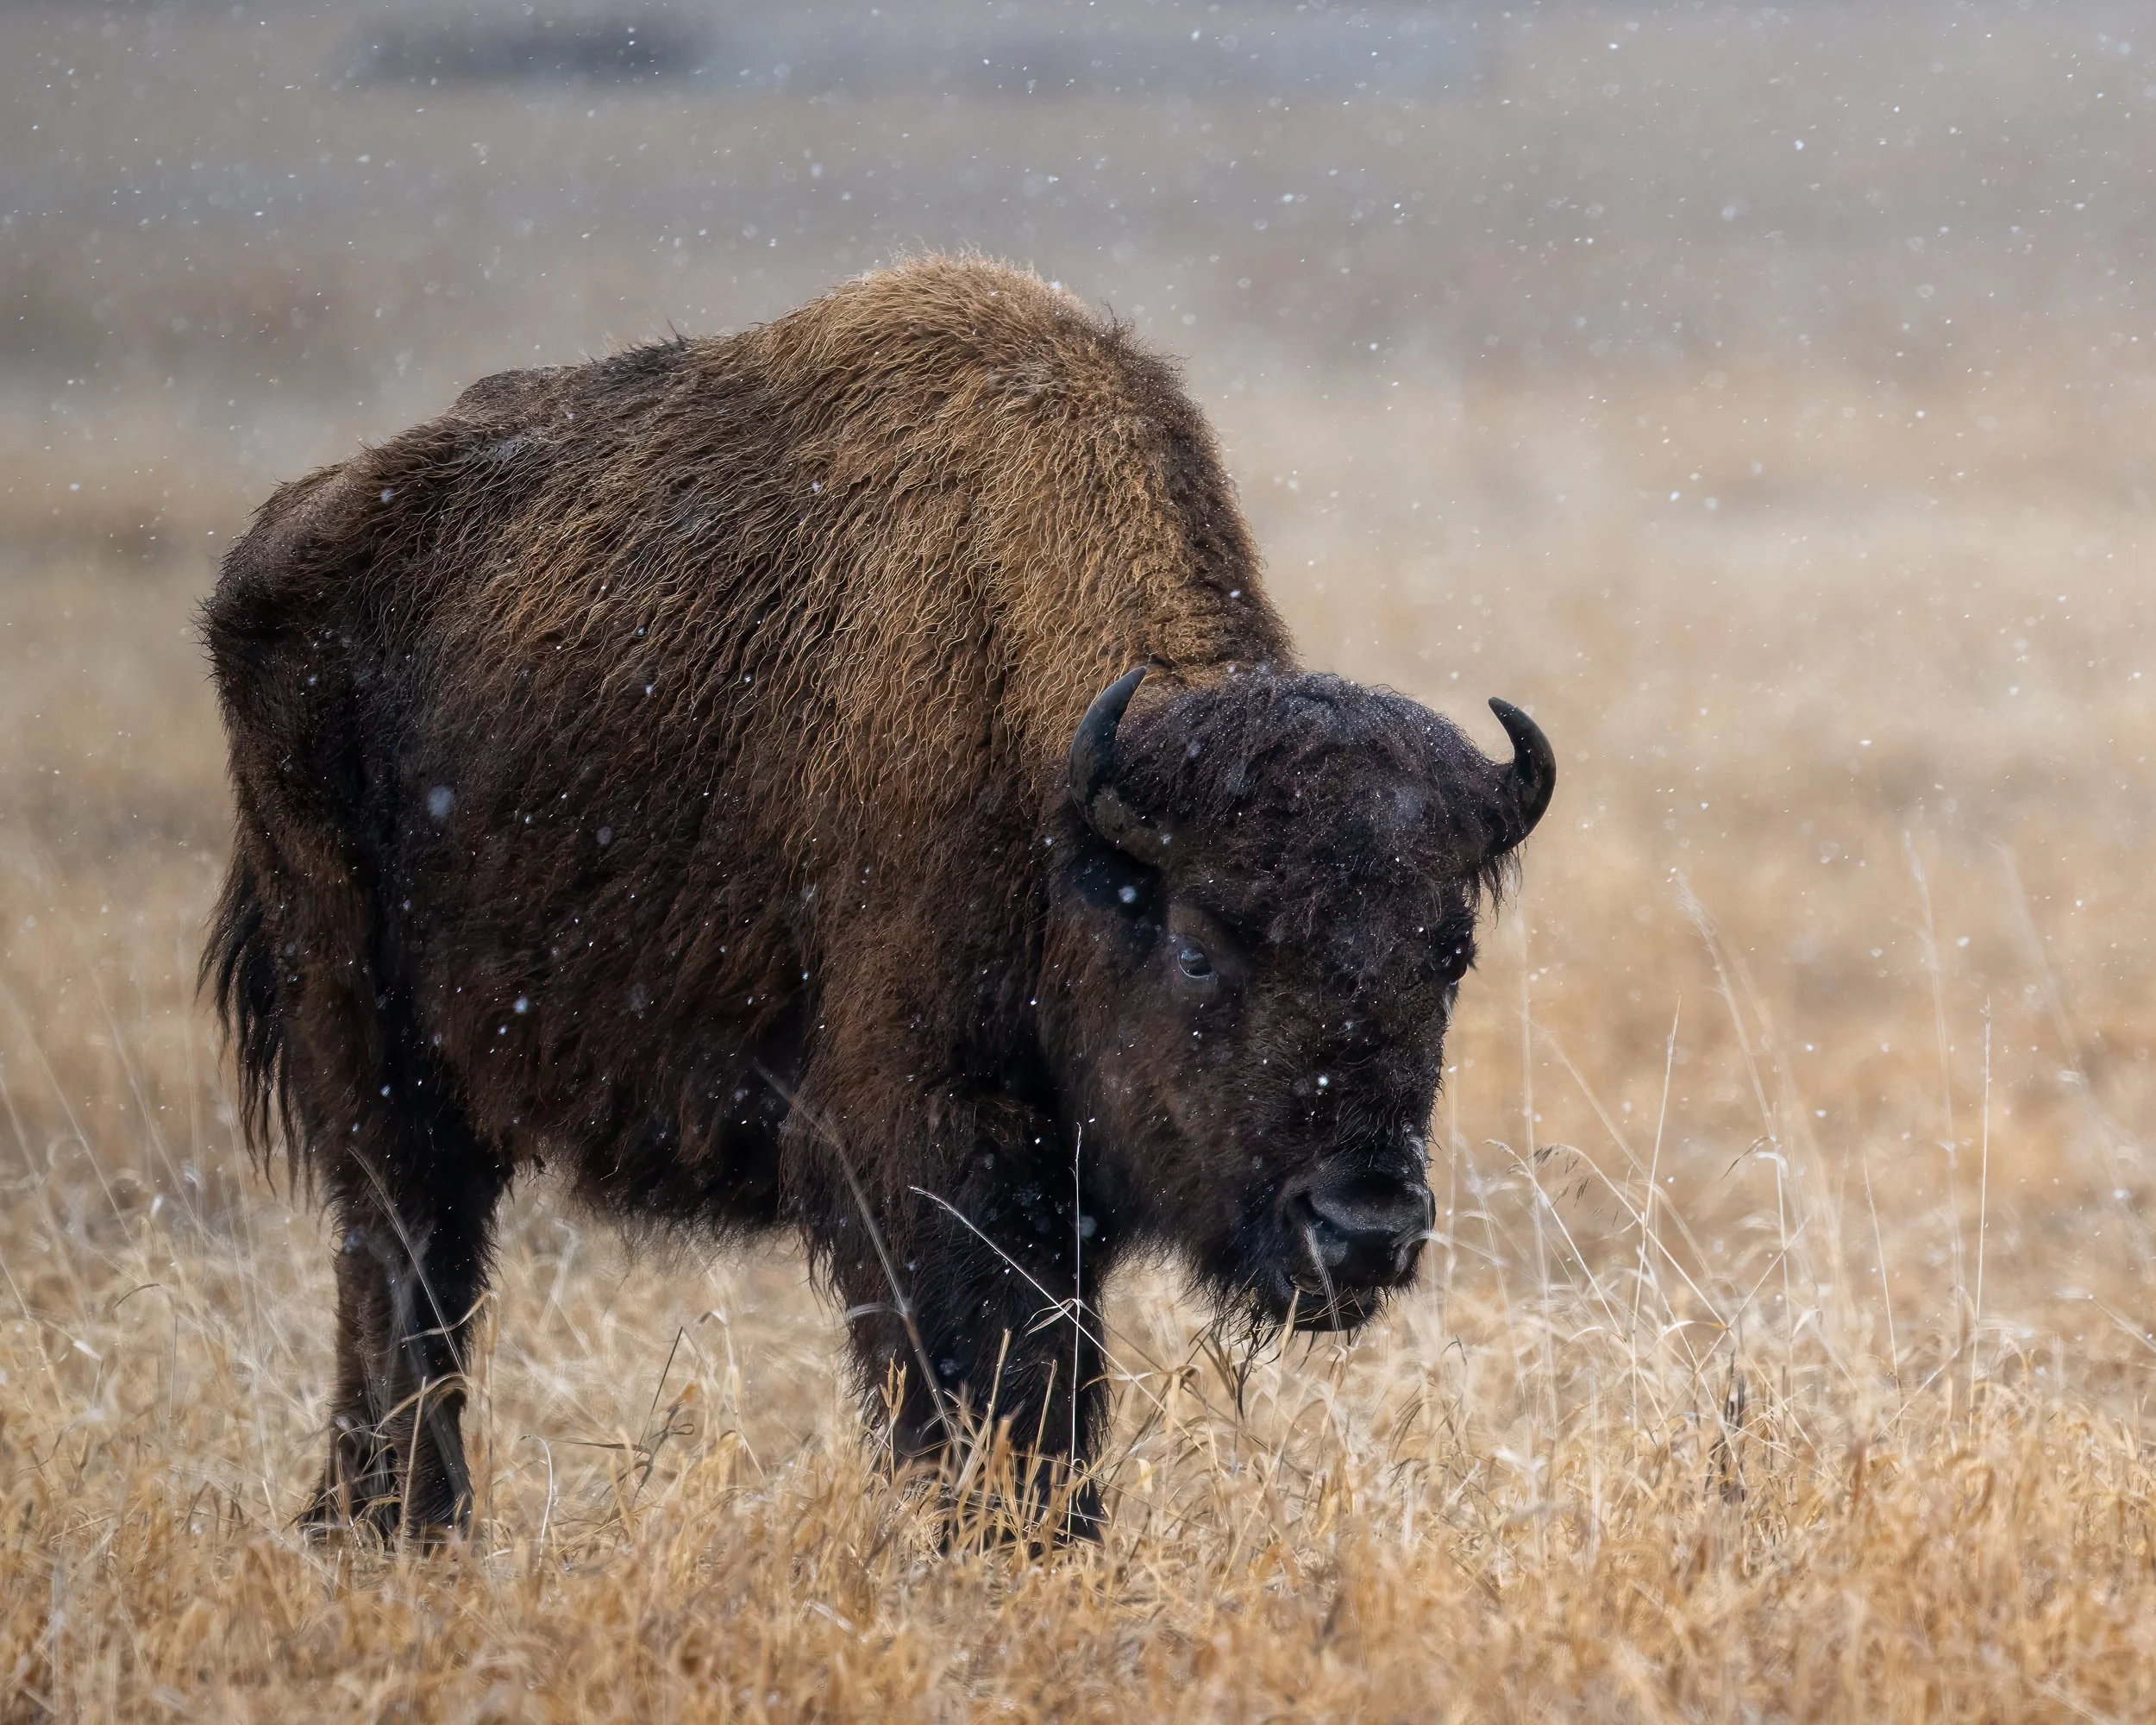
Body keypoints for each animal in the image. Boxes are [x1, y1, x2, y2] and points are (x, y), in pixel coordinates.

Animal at [202, 255, 1553, 1539]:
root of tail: (270, 545)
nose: (1364, 1226)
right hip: (366, 1037)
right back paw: (404, 1521)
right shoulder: (924, 1148)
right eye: (1201, 947)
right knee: (404, 1246)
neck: (1058, 787)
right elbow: (990, 1375)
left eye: (1449, 953)